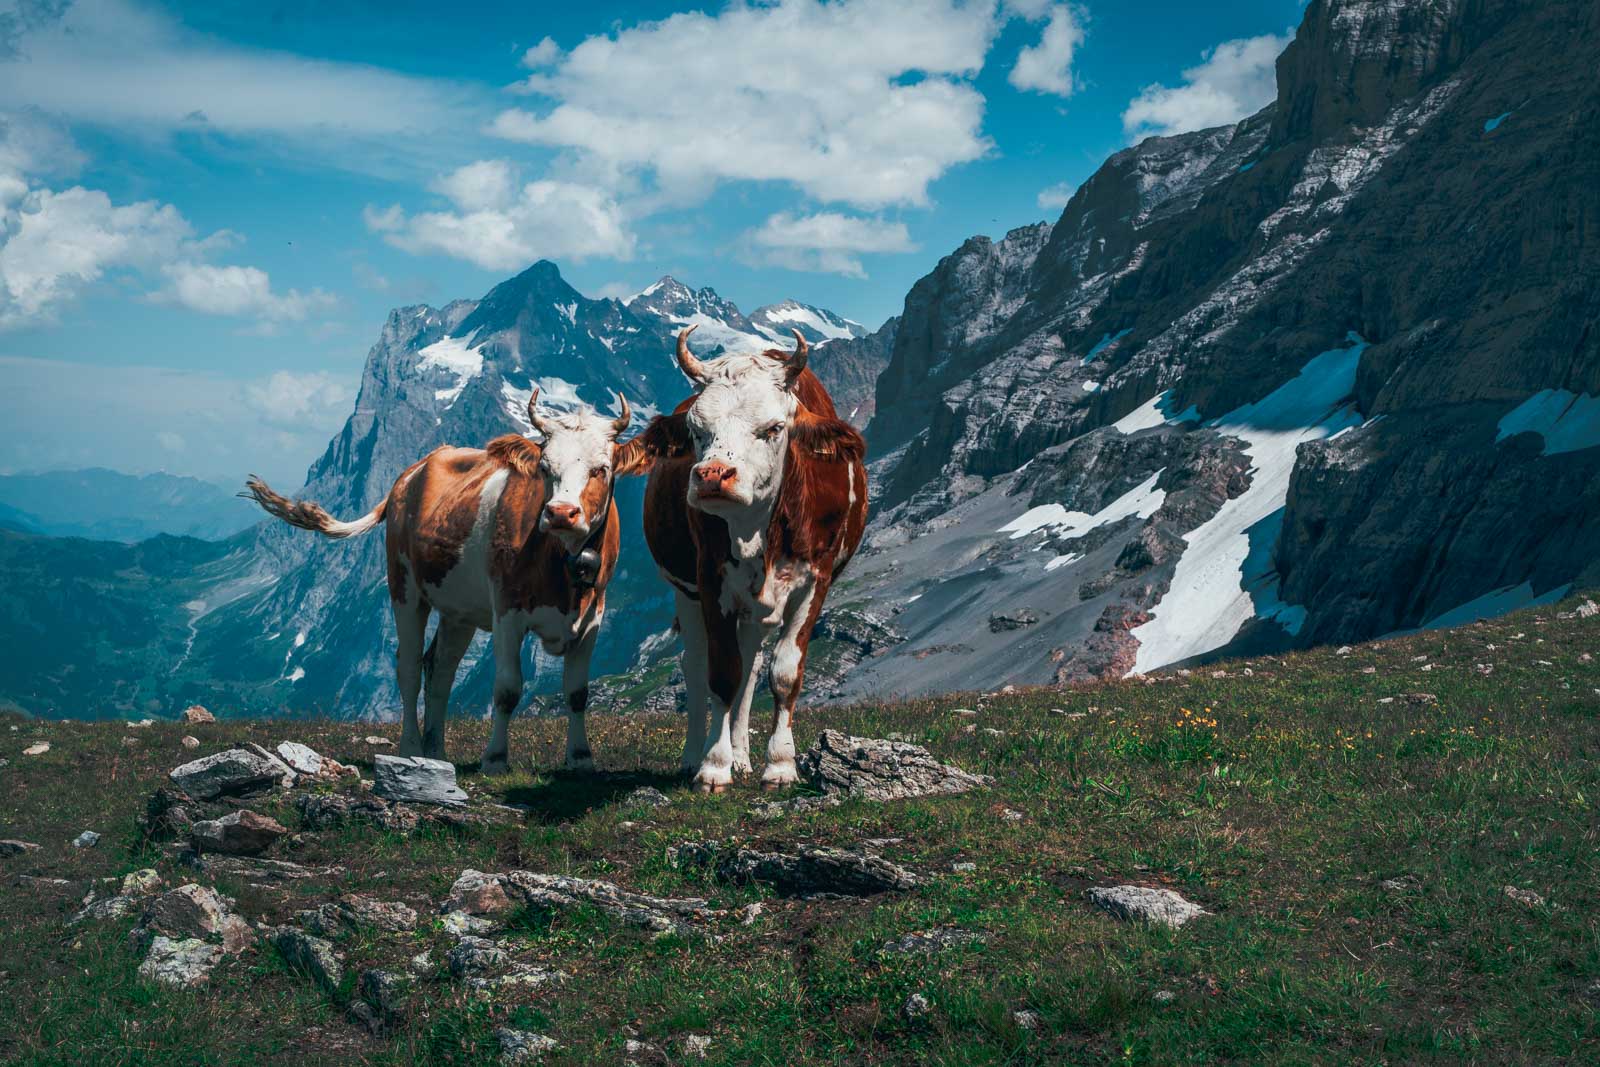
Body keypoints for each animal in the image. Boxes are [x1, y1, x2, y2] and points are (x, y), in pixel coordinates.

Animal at [244, 392, 645, 774]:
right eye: (545, 468)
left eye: (601, 470)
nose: (561, 513)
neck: (562, 569)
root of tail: (412, 472)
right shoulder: (507, 612)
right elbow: (507, 689)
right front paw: (495, 759)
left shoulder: (593, 617)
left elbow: (577, 692)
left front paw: (580, 757)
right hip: (404, 587)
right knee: (408, 666)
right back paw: (410, 747)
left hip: (459, 611)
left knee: (440, 669)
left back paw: (436, 752)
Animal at [636, 325, 868, 793]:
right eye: (696, 428)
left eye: (774, 427)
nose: (711, 476)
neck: (757, 532)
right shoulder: (711, 581)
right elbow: (722, 674)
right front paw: (712, 768)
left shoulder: (815, 582)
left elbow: (782, 674)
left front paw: (779, 766)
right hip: (685, 591)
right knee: (697, 664)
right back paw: (696, 755)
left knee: (751, 666)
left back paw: (742, 756)